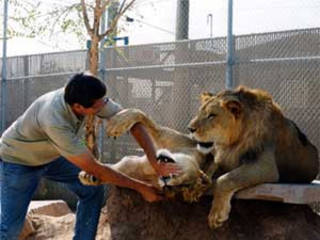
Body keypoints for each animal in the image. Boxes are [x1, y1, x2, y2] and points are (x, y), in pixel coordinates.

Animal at [189, 85, 318, 229]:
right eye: (199, 113)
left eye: (212, 115)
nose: (190, 128)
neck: (233, 142)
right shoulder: (225, 157)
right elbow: (211, 166)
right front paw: (196, 186)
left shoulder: (265, 165)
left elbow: (225, 179)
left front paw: (216, 215)